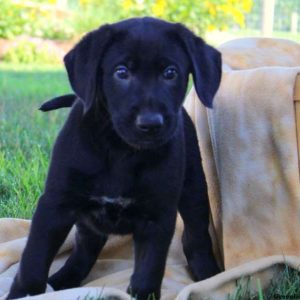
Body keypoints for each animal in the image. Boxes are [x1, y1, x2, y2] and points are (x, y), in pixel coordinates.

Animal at [7, 17, 220, 298]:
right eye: (121, 72)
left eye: (170, 73)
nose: (150, 123)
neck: (121, 150)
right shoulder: (55, 204)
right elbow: (32, 263)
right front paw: (22, 293)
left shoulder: (157, 217)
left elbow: (148, 273)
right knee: (86, 248)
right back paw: (64, 279)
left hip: (194, 189)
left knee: (195, 239)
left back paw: (209, 276)